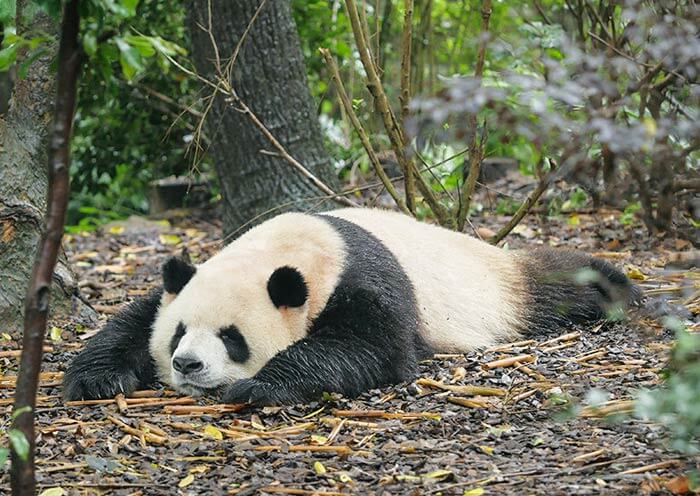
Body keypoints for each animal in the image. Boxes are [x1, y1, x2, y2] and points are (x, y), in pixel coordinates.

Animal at [63, 207, 636, 404]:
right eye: (180, 332)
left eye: (232, 338)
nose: (187, 365)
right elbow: (135, 319)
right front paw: (96, 379)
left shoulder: (363, 281)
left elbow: (372, 347)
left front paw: (262, 385)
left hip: (497, 287)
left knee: (558, 282)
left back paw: (620, 293)